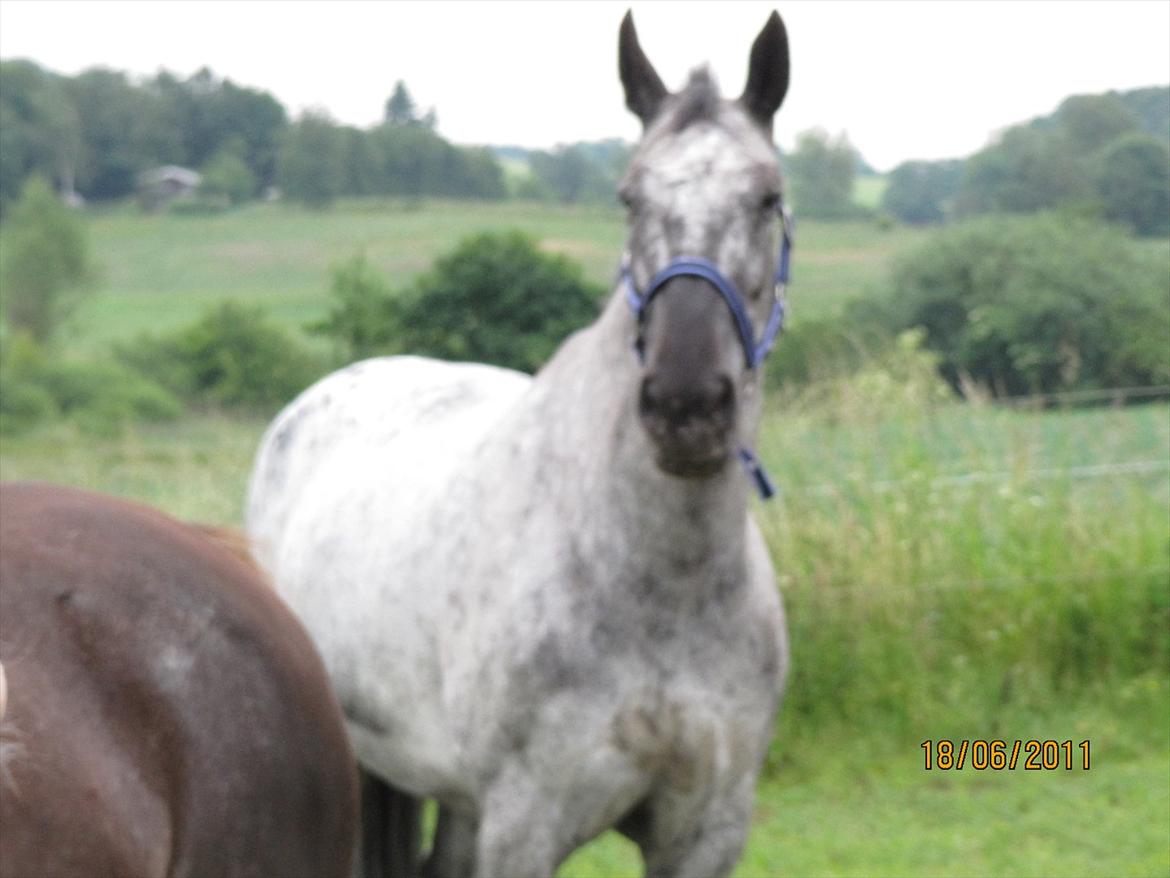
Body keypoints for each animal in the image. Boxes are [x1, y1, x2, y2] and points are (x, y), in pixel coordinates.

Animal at [246, 13, 795, 878]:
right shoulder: (525, 824)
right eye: (629, 197)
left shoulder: (705, 829)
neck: (660, 583)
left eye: (767, 196)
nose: (686, 405)